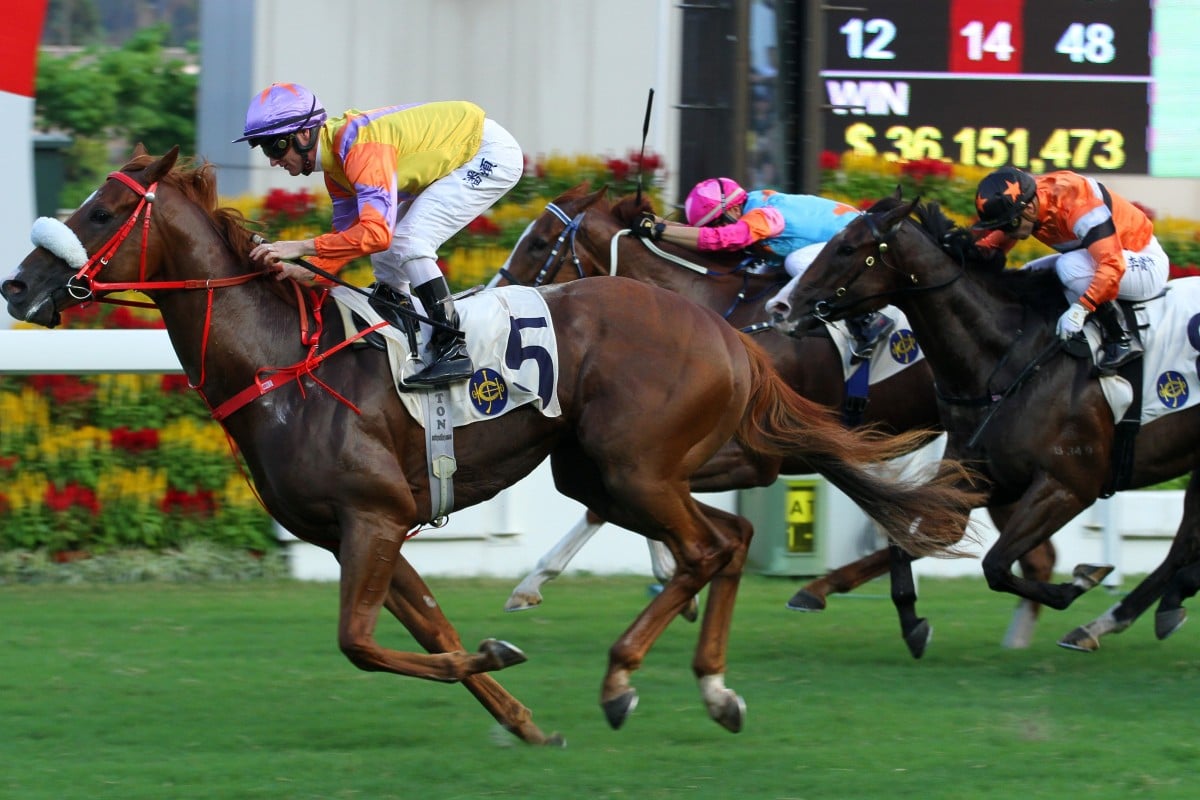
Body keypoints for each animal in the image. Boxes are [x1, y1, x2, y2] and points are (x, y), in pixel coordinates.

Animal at [0, 148, 984, 743]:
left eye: (100, 212)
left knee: (711, 545)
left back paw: (626, 678)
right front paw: (521, 718)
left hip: (634, 464)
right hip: (604, 468)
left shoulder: (370, 518)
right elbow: (424, 629)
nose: (19, 285)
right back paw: (713, 685)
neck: (286, 364)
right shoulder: (364, 531)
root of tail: (727, 332)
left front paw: (503, 656)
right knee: (730, 540)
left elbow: (360, 644)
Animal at [492, 184, 1056, 662]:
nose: (491, 291)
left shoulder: (755, 458)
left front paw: (537, 582)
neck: (723, 316)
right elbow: (613, 499)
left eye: (538, 242)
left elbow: (612, 499)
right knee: (1016, 546)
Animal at [768, 191, 1200, 652]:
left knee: (1182, 544)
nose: (781, 308)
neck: (1004, 357)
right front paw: (911, 621)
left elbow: (994, 565)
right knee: (1184, 543)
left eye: (846, 248)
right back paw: (1130, 615)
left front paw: (1079, 582)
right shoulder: (978, 475)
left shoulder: (1068, 484)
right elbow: (910, 537)